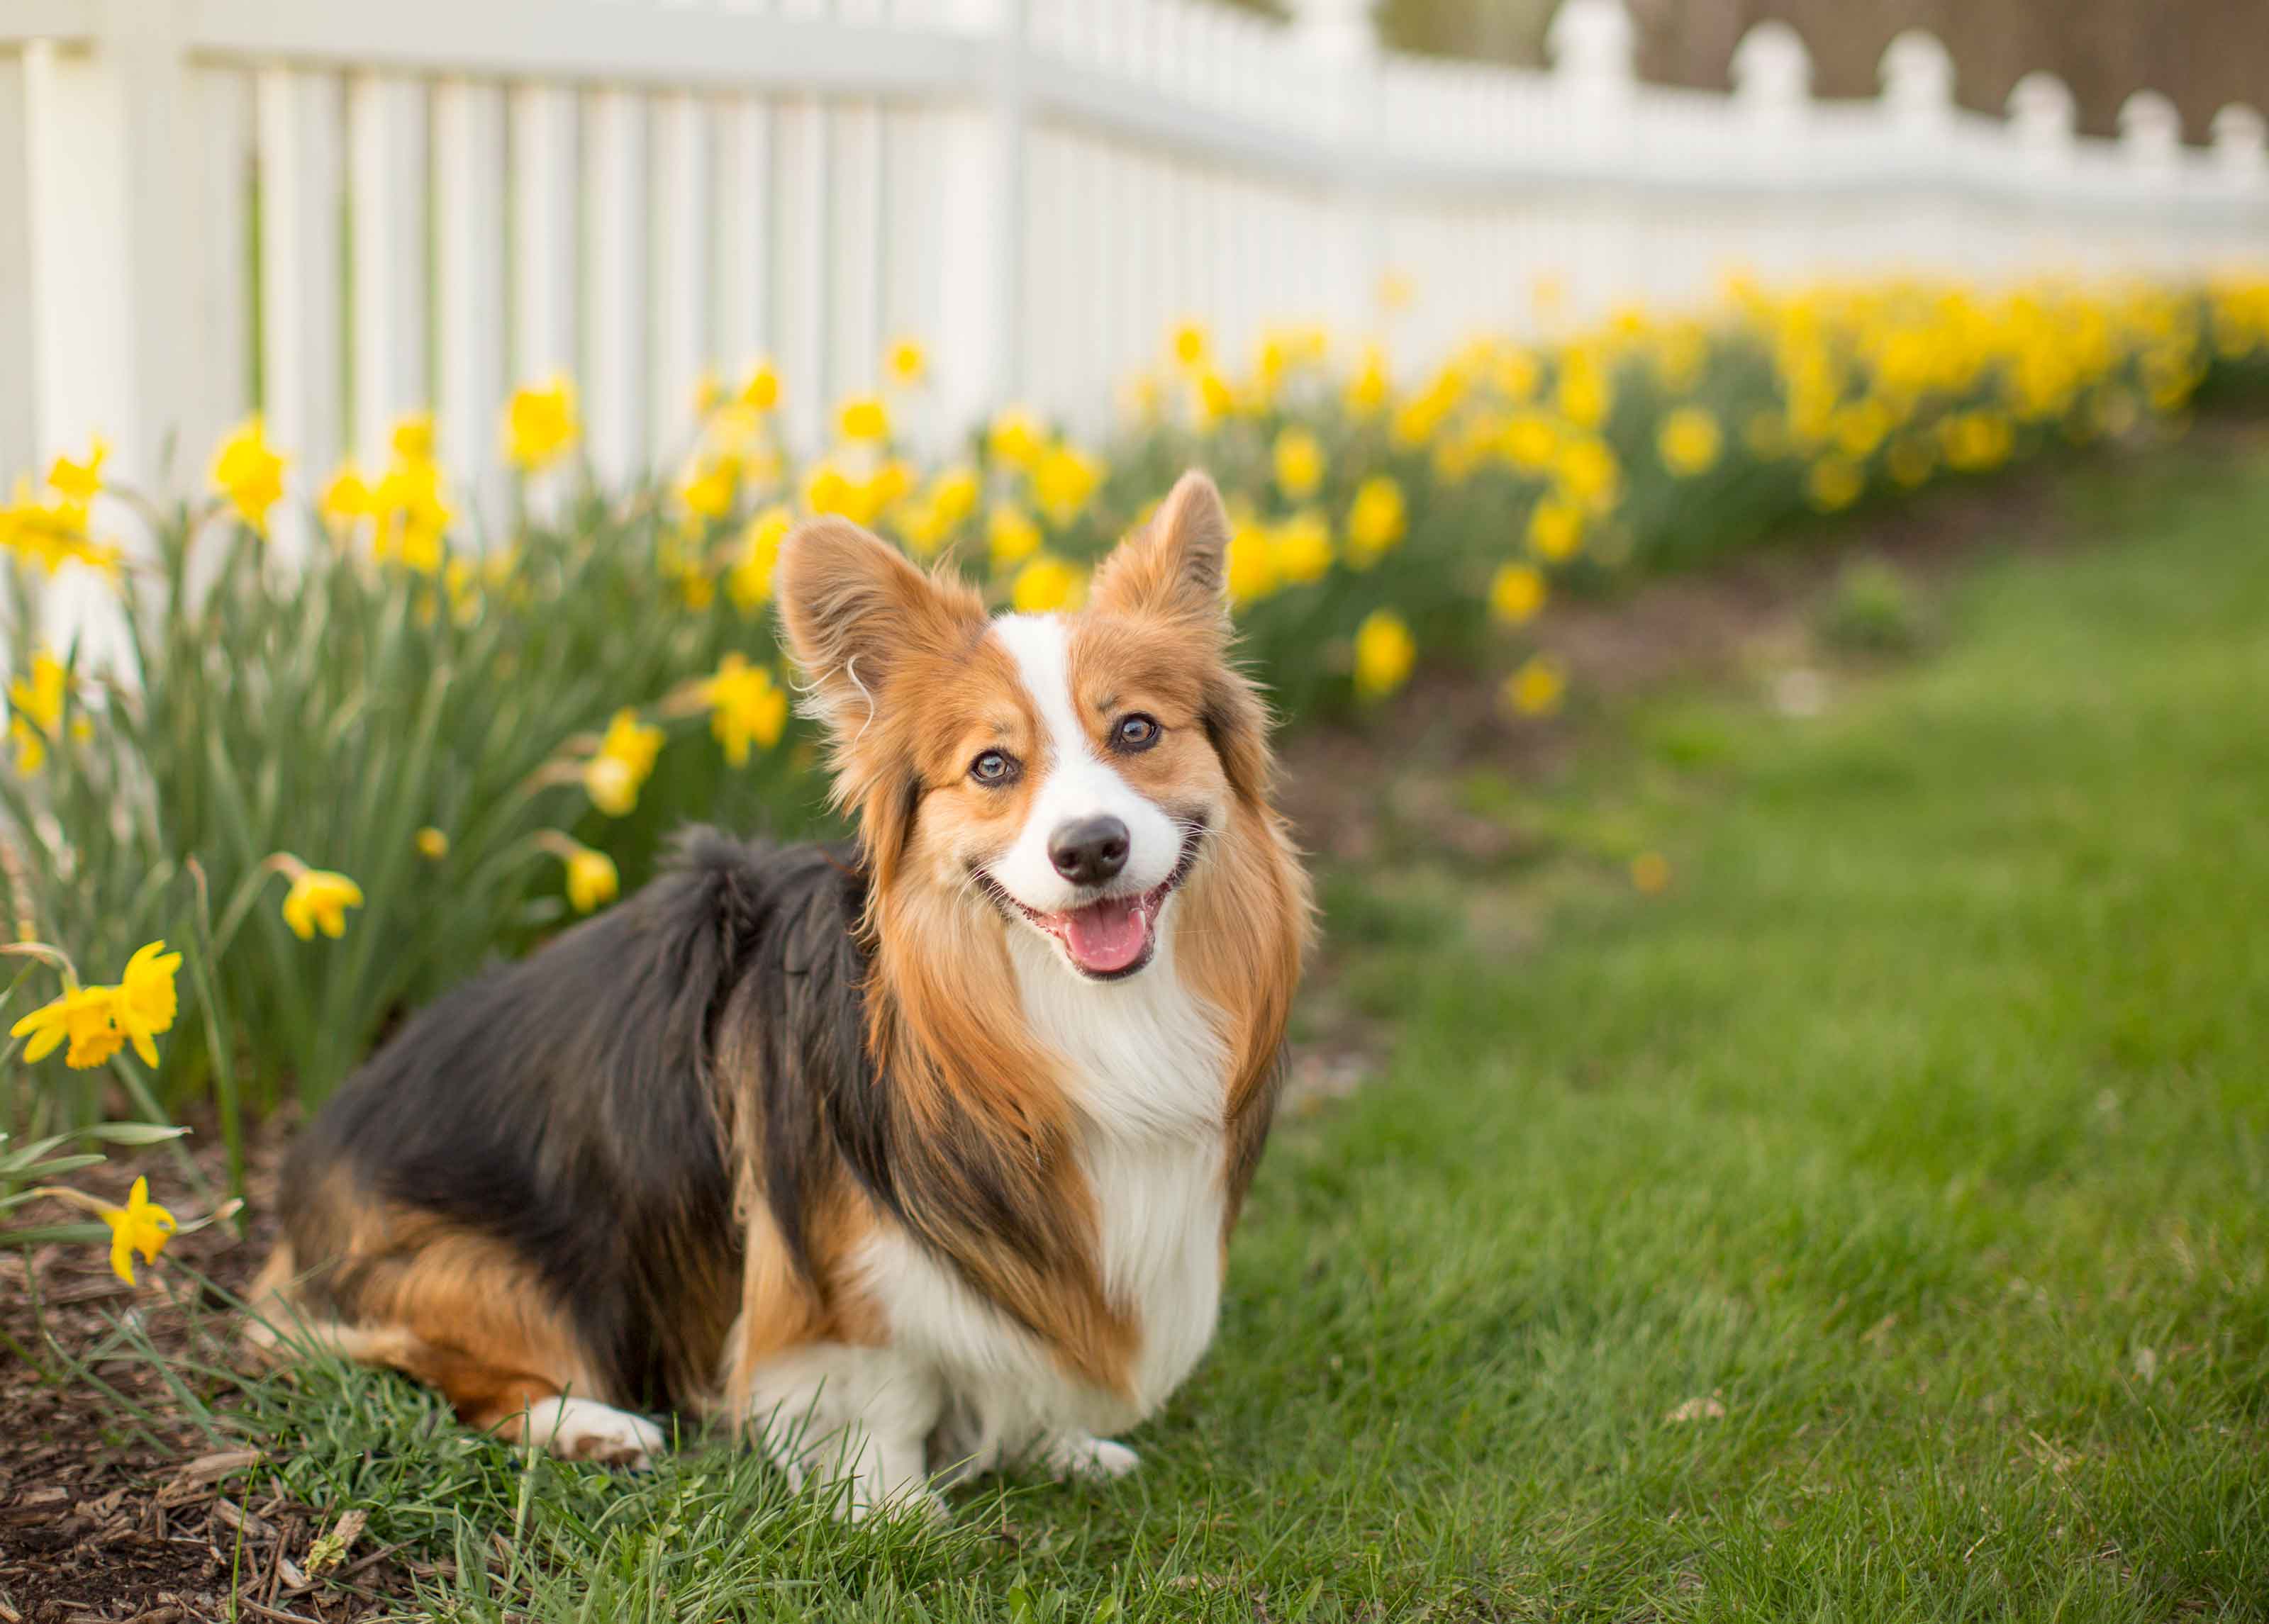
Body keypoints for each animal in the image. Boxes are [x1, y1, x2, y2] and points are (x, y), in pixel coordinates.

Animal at [248, 471, 1316, 1524]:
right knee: (447, 1367)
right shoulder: (843, 1277)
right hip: (510, 1269)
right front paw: (893, 1511)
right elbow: (883, 1389)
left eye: (1137, 729)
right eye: (992, 765)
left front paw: (1062, 1444)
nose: (1089, 848)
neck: (1075, 1016)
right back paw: (595, 1425)